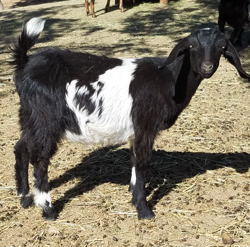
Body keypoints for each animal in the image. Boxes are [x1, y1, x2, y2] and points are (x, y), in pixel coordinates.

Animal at [11, 17, 248, 220]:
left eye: (222, 47)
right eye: (192, 47)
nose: (207, 68)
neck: (167, 79)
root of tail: (25, 63)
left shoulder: (135, 131)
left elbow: (134, 161)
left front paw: (134, 196)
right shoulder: (145, 126)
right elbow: (142, 162)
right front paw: (144, 210)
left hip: (30, 117)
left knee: (21, 147)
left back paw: (24, 198)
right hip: (46, 120)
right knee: (40, 159)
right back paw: (48, 209)